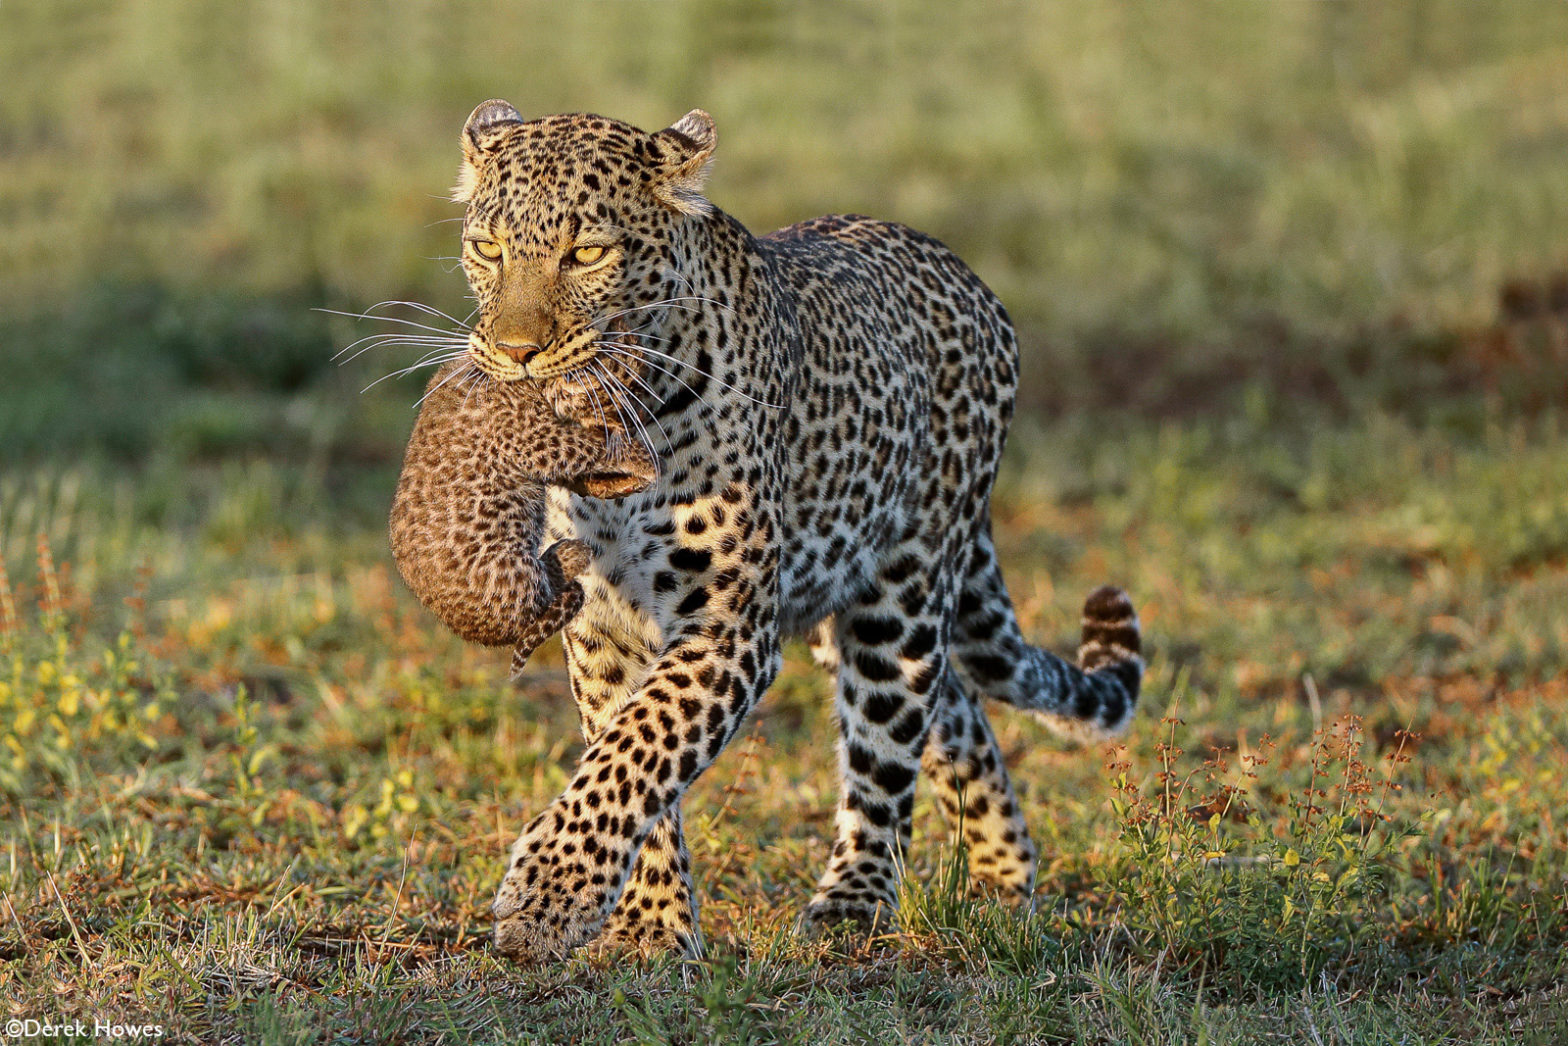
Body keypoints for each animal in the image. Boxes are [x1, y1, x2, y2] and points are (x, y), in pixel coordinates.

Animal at [395, 360, 658, 674]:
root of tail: (476, 634)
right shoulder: (535, 439)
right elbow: (585, 446)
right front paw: (640, 458)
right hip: (508, 572)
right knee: (544, 595)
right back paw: (571, 553)